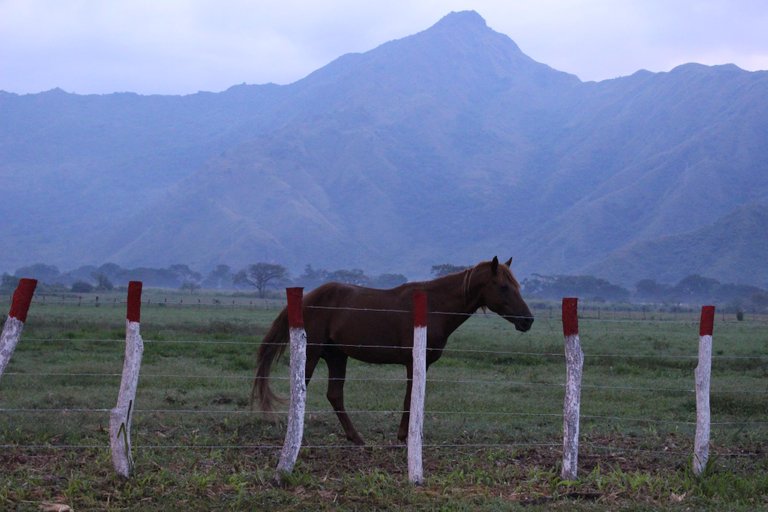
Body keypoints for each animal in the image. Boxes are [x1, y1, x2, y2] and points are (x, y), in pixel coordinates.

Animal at [255, 256, 532, 444]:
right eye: (504, 287)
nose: (527, 320)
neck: (433, 306)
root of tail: (308, 298)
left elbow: (414, 398)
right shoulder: (413, 361)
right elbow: (410, 398)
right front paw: (403, 436)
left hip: (337, 356)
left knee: (334, 395)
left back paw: (356, 438)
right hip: (312, 354)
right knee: (302, 390)